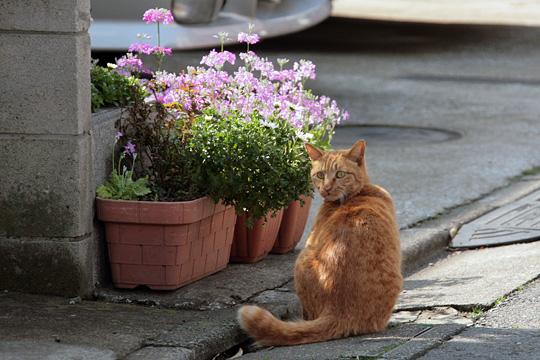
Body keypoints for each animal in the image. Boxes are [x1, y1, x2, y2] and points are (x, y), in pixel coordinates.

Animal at [238, 139, 402, 344]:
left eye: (340, 174)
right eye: (320, 175)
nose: (327, 188)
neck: (358, 194)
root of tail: (340, 312)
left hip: (301, 259)